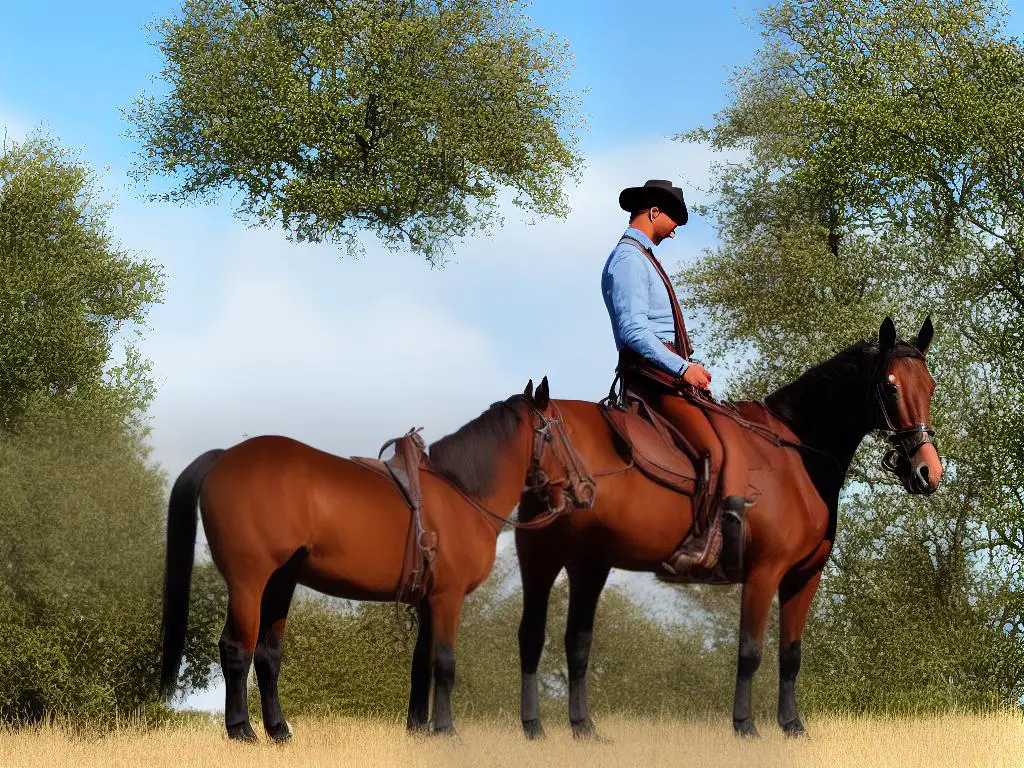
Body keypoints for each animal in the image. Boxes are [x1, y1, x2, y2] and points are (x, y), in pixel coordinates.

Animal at [157, 382, 593, 741]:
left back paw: (279, 731)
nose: (587, 488)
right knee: (236, 649)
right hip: (249, 582)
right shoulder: (448, 598)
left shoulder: (427, 601)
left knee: (267, 655)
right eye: (560, 429)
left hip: (281, 582)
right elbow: (444, 663)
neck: (463, 493)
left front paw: (419, 730)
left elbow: (421, 664)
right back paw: (241, 731)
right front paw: (446, 731)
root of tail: (223, 458)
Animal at [516, 317, 937, 741]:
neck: (797, 458)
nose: (927, 472)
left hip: (574, 562)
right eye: (891, 386)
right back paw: (540, 727)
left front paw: (792, 726)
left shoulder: (804, 576)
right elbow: (750, 651)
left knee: (557, 637)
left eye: (930, 386)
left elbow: (791, 653)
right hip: (551, 558)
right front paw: (745, 727)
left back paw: (570, 728)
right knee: (540, 635)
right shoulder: (764, 573)